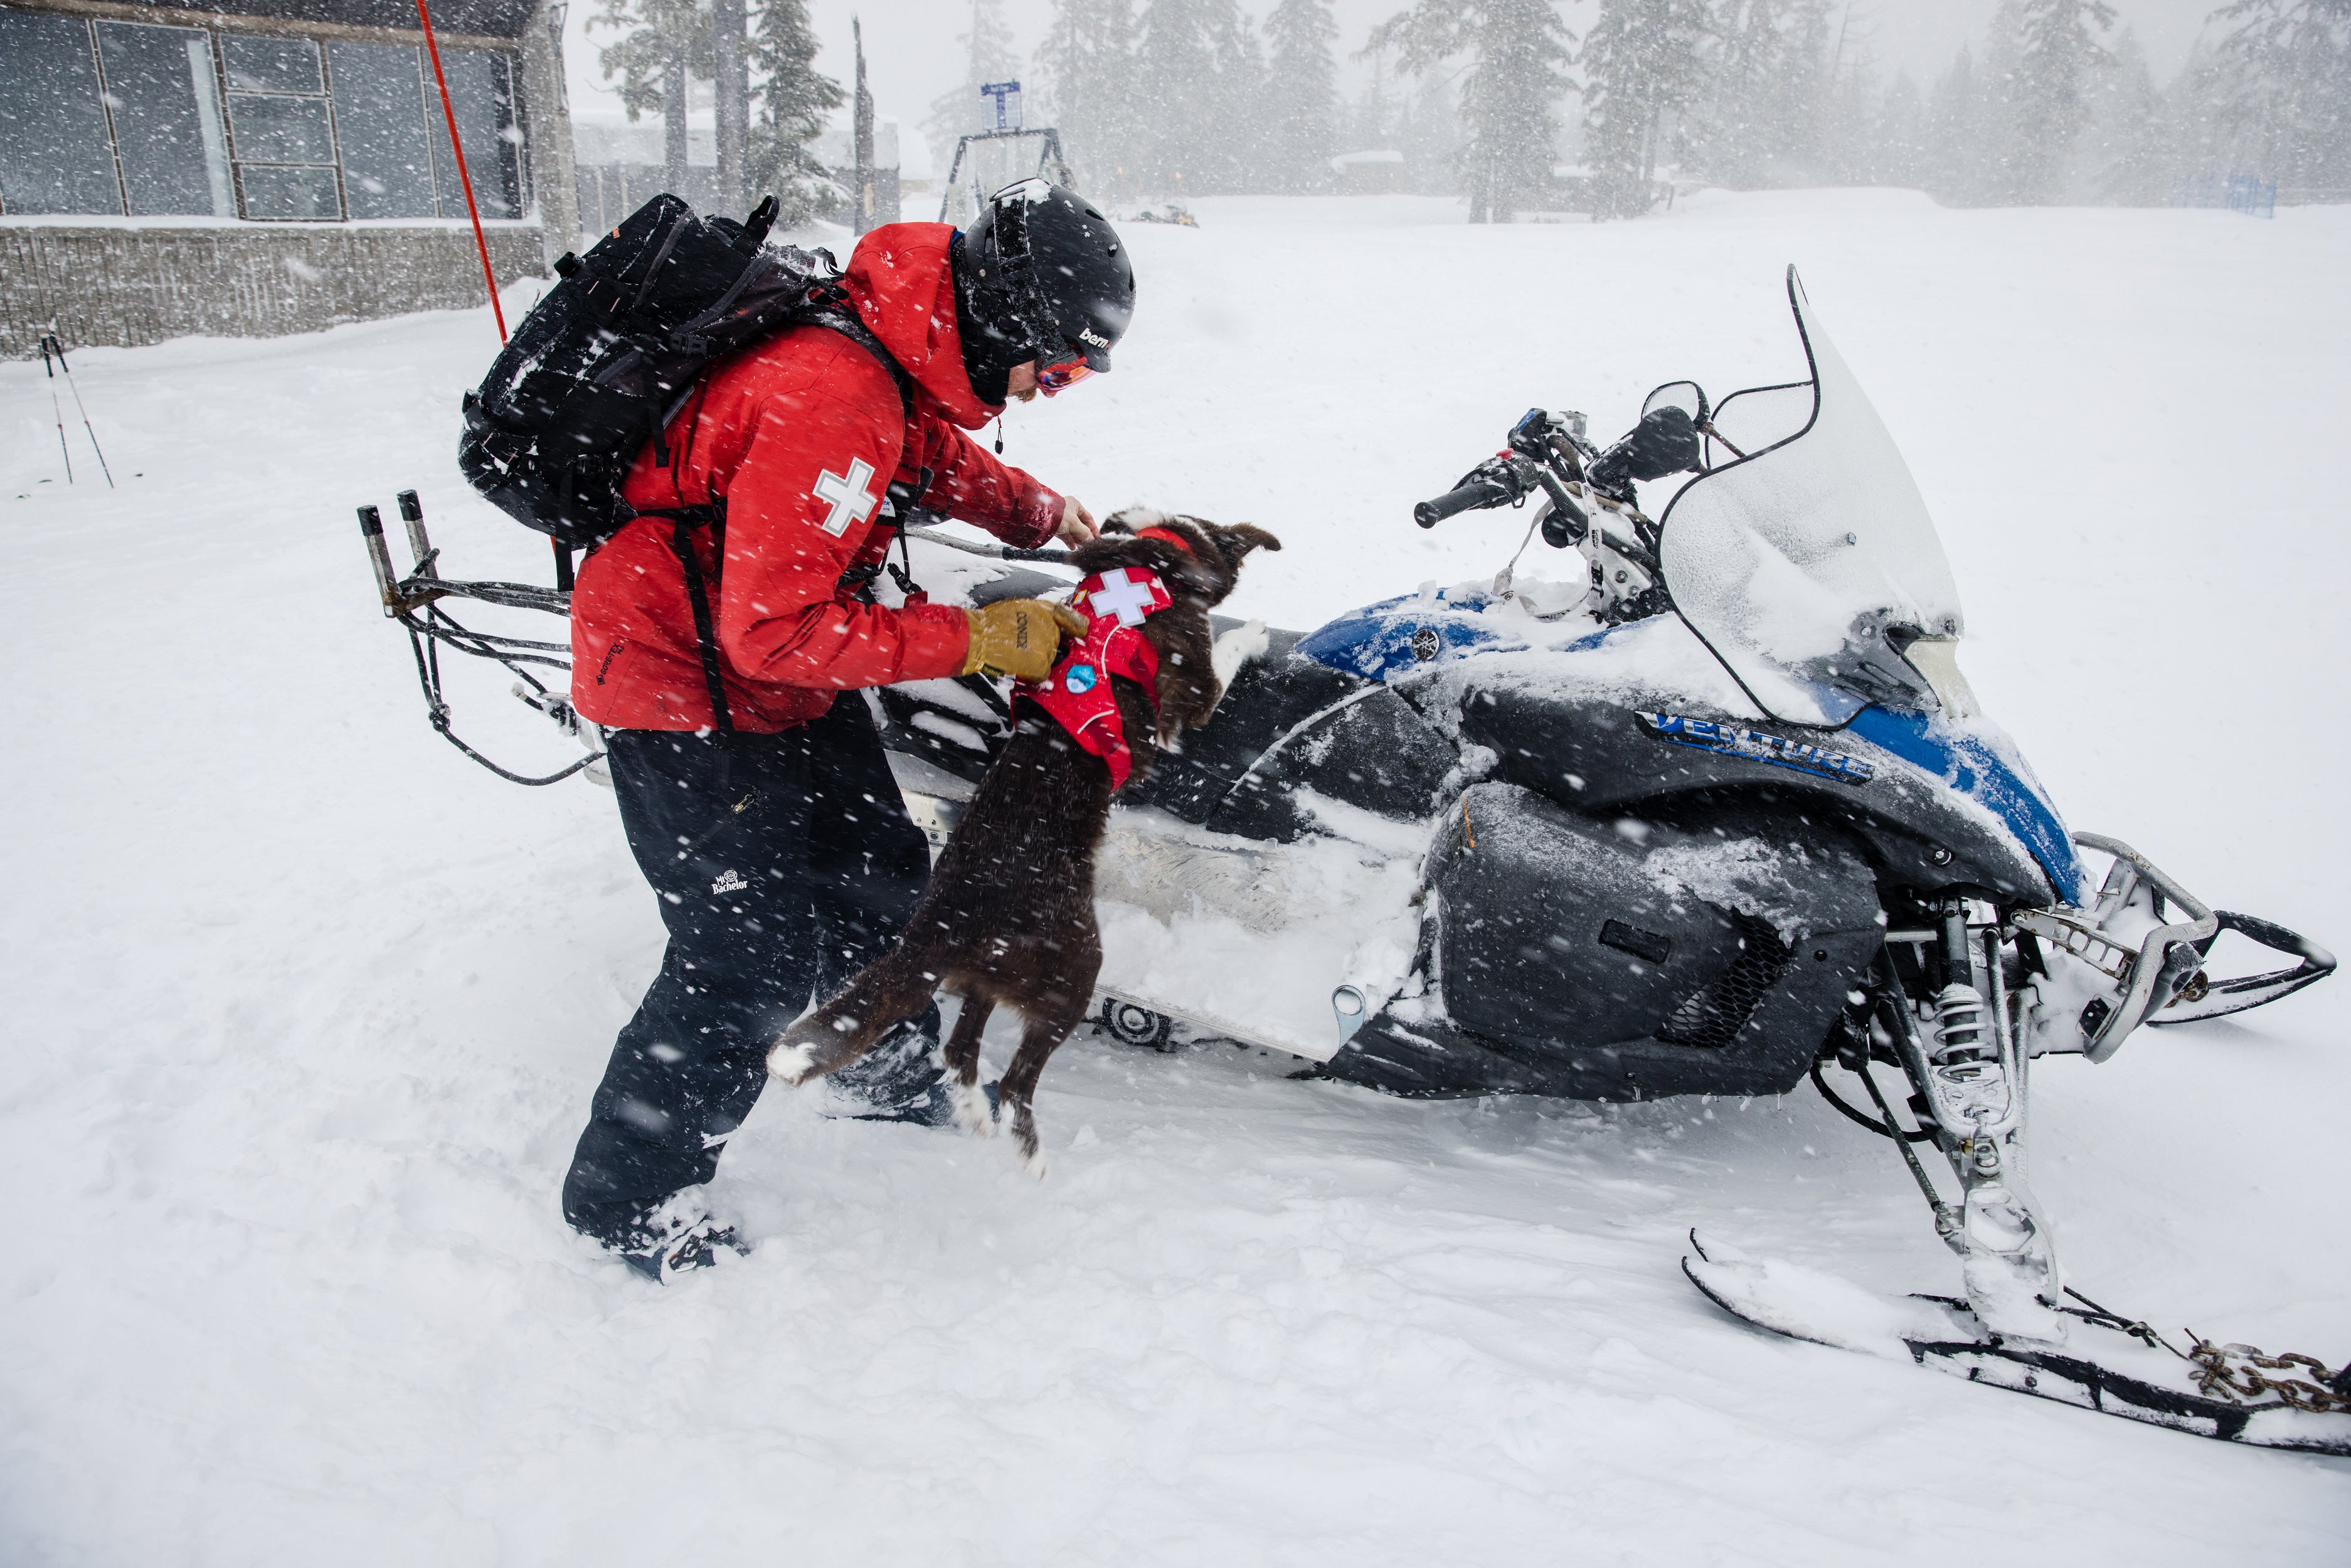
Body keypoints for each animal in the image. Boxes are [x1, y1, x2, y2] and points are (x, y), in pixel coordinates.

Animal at [771, 510, 1288, 1170]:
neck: (1157, 559)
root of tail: (944, 922)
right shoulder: (1190, 693)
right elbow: (1224, 658)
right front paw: (1254, 629)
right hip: (1072, 974)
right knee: (1018, 1077)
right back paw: (1030, 1152)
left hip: (990, 976)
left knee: (960, 1049)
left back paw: (973, 1112)